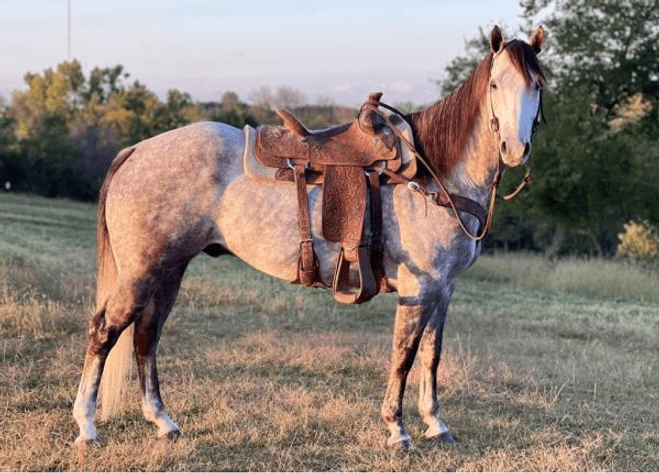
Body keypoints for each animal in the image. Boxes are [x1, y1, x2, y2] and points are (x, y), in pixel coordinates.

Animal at [73, 26, 546, 449]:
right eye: (496, 84)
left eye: (538, 85)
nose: (514, 149)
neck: (433, 177)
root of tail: (137, 150)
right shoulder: (419, 288)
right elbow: (404, 357)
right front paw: (397, 430)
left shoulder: (443, 289)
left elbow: (432, 355)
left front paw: (436, 425)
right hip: (142, 271)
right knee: (104, 332)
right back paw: (87, 428)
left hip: (169, 270)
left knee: (146, 336)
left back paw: (163, 422)